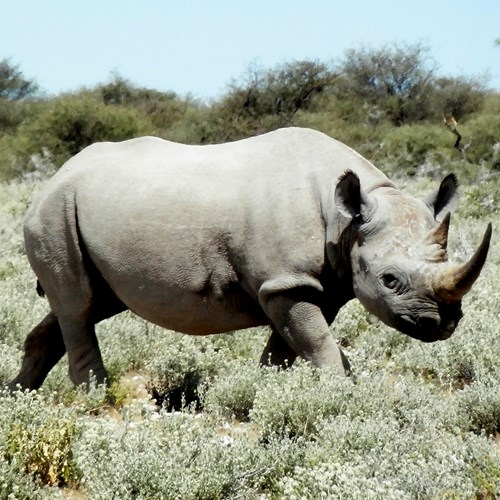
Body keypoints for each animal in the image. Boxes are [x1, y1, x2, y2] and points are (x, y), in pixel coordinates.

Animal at [7, 126, 492, 390]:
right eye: (390, 280)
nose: (443, 324)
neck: (348, 219)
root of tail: (54, 176)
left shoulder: (311, 284)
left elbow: (289, 347)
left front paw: (266, 390)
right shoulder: (286, 281)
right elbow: (318, 344)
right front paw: (342, 393)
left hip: (82, 211)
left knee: (90, 303)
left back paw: (18, 396)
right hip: (54, 212)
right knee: (79, 305)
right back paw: (96, 396)